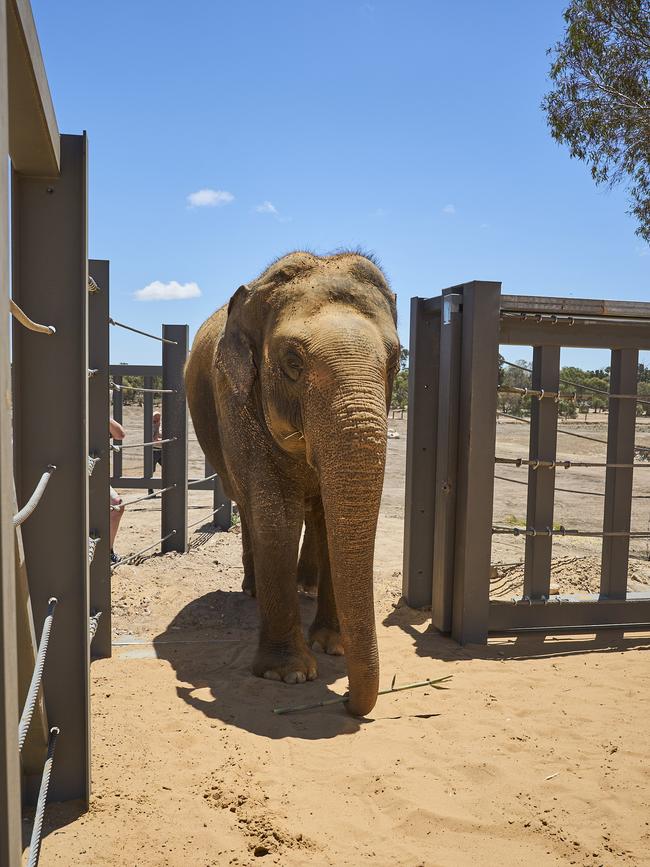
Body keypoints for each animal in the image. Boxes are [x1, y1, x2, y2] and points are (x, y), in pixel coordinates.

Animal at [185, 249, 398, 712]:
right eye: (292, 363)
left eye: (395, 361)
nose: (348, 702)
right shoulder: (238, 401)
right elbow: (277, 513)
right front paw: (289, 674)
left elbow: (332, 517)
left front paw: (333, 647)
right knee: (249, 508)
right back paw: (252, 590)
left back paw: (307, 589)